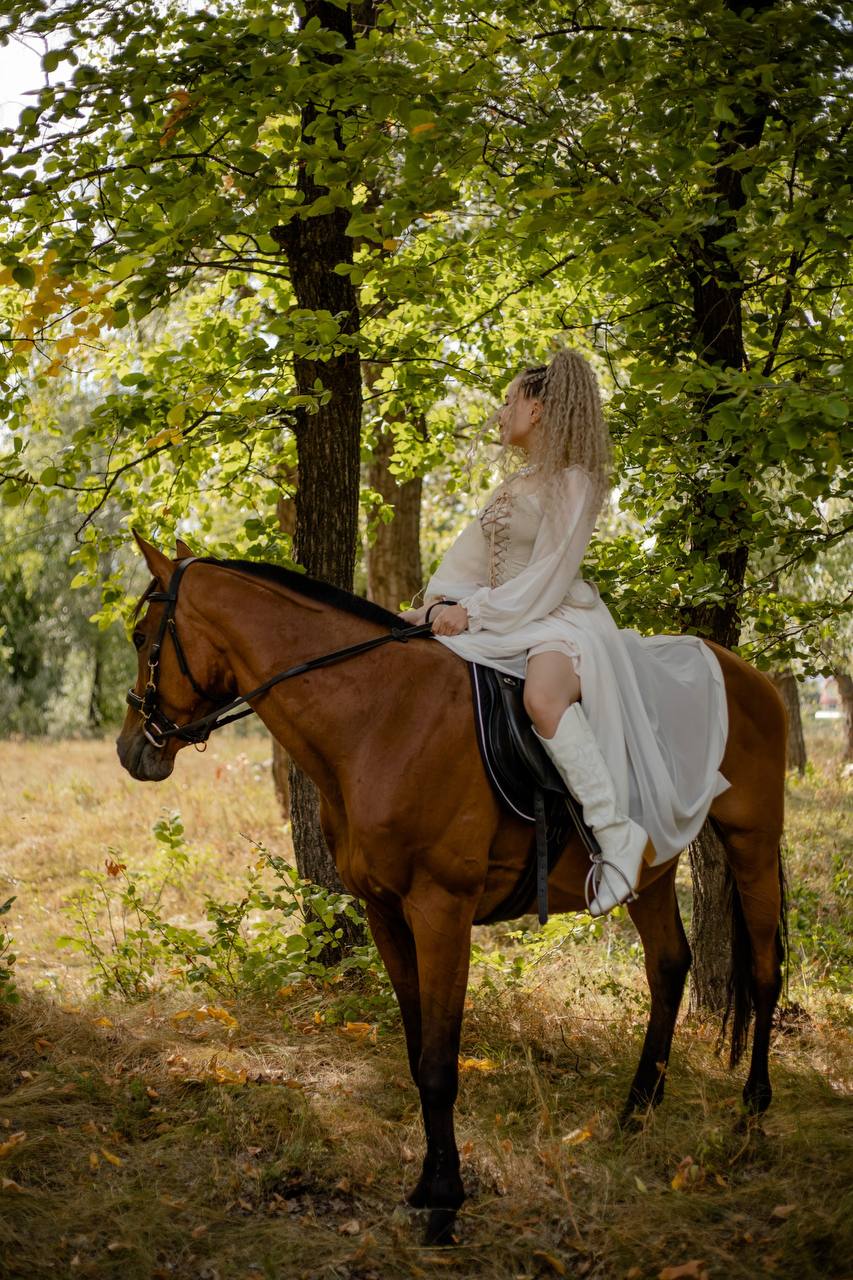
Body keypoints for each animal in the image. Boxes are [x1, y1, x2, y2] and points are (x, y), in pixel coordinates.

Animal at [117, 536, 787, 1243]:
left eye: (141, 636)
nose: (132, 748)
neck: (379, 717)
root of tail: (745, 673)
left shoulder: (442, 909)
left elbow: (440, 1065)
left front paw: (444, 1199)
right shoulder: (384, 911)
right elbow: (418, 1054)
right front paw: (427, 1184)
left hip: (752, 843)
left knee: (764, 971)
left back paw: (752, 1107)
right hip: (654, 869)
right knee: (668, 966)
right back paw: (638, 1109)